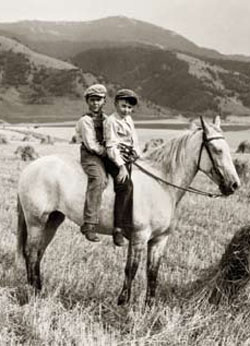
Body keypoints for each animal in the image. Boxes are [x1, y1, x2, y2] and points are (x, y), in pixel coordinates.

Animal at [16, 117, 240, 306]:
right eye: (216, 149)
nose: (234, 185)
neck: (161, 184)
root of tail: (30, 167)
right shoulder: (140, 237)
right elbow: (131, 269)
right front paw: (123, 303)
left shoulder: (159, 240)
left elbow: (152, 272)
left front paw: (149, 306)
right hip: (36, 221)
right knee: (31, 252)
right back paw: (31, 292)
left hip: (53, 220)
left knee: (39, 252)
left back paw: (38, 289)